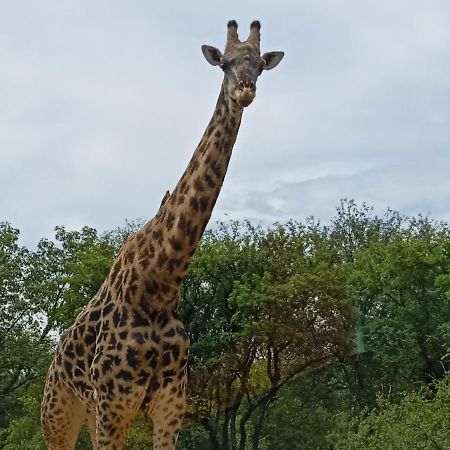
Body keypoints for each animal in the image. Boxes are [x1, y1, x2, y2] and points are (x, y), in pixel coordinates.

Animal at [40, 19, 284, 448]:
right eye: (224, 64)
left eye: (259, 66)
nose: (245, 90)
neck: (159, 283)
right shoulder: (114, 402)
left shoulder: (171, 400)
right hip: (59, 413)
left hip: (87, 412)